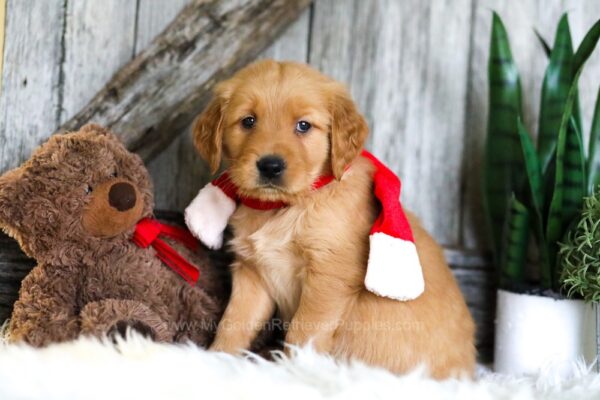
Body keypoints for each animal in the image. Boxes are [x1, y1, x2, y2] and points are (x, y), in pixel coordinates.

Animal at [189, 59, 478, 378]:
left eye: (303, 125)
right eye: (248, 121)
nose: (270, 166)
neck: (287, 207)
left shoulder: (328, 277)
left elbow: (302, 334)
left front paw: (294, 372)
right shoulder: (252, 272)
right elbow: (234, 322)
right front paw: (216, 359)